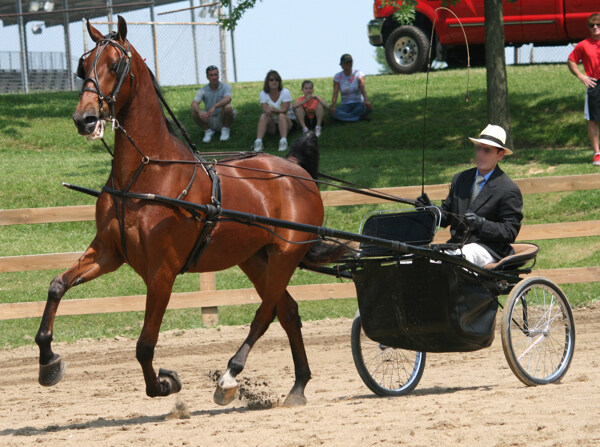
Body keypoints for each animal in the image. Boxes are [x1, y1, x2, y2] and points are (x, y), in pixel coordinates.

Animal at [35, 16, 340, 410]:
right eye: (83, 65)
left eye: (115, 65)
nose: (84, 119)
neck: (146, 175)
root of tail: (297, 171)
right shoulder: (108, 252)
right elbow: (57, 286)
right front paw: (48, 361)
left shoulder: (162, 273)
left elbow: (145, 345)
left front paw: (165, 383)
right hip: (256, 258)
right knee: (287, 311)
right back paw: (298, 385)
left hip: (286, 255)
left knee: (265, 313)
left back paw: (230, 377)